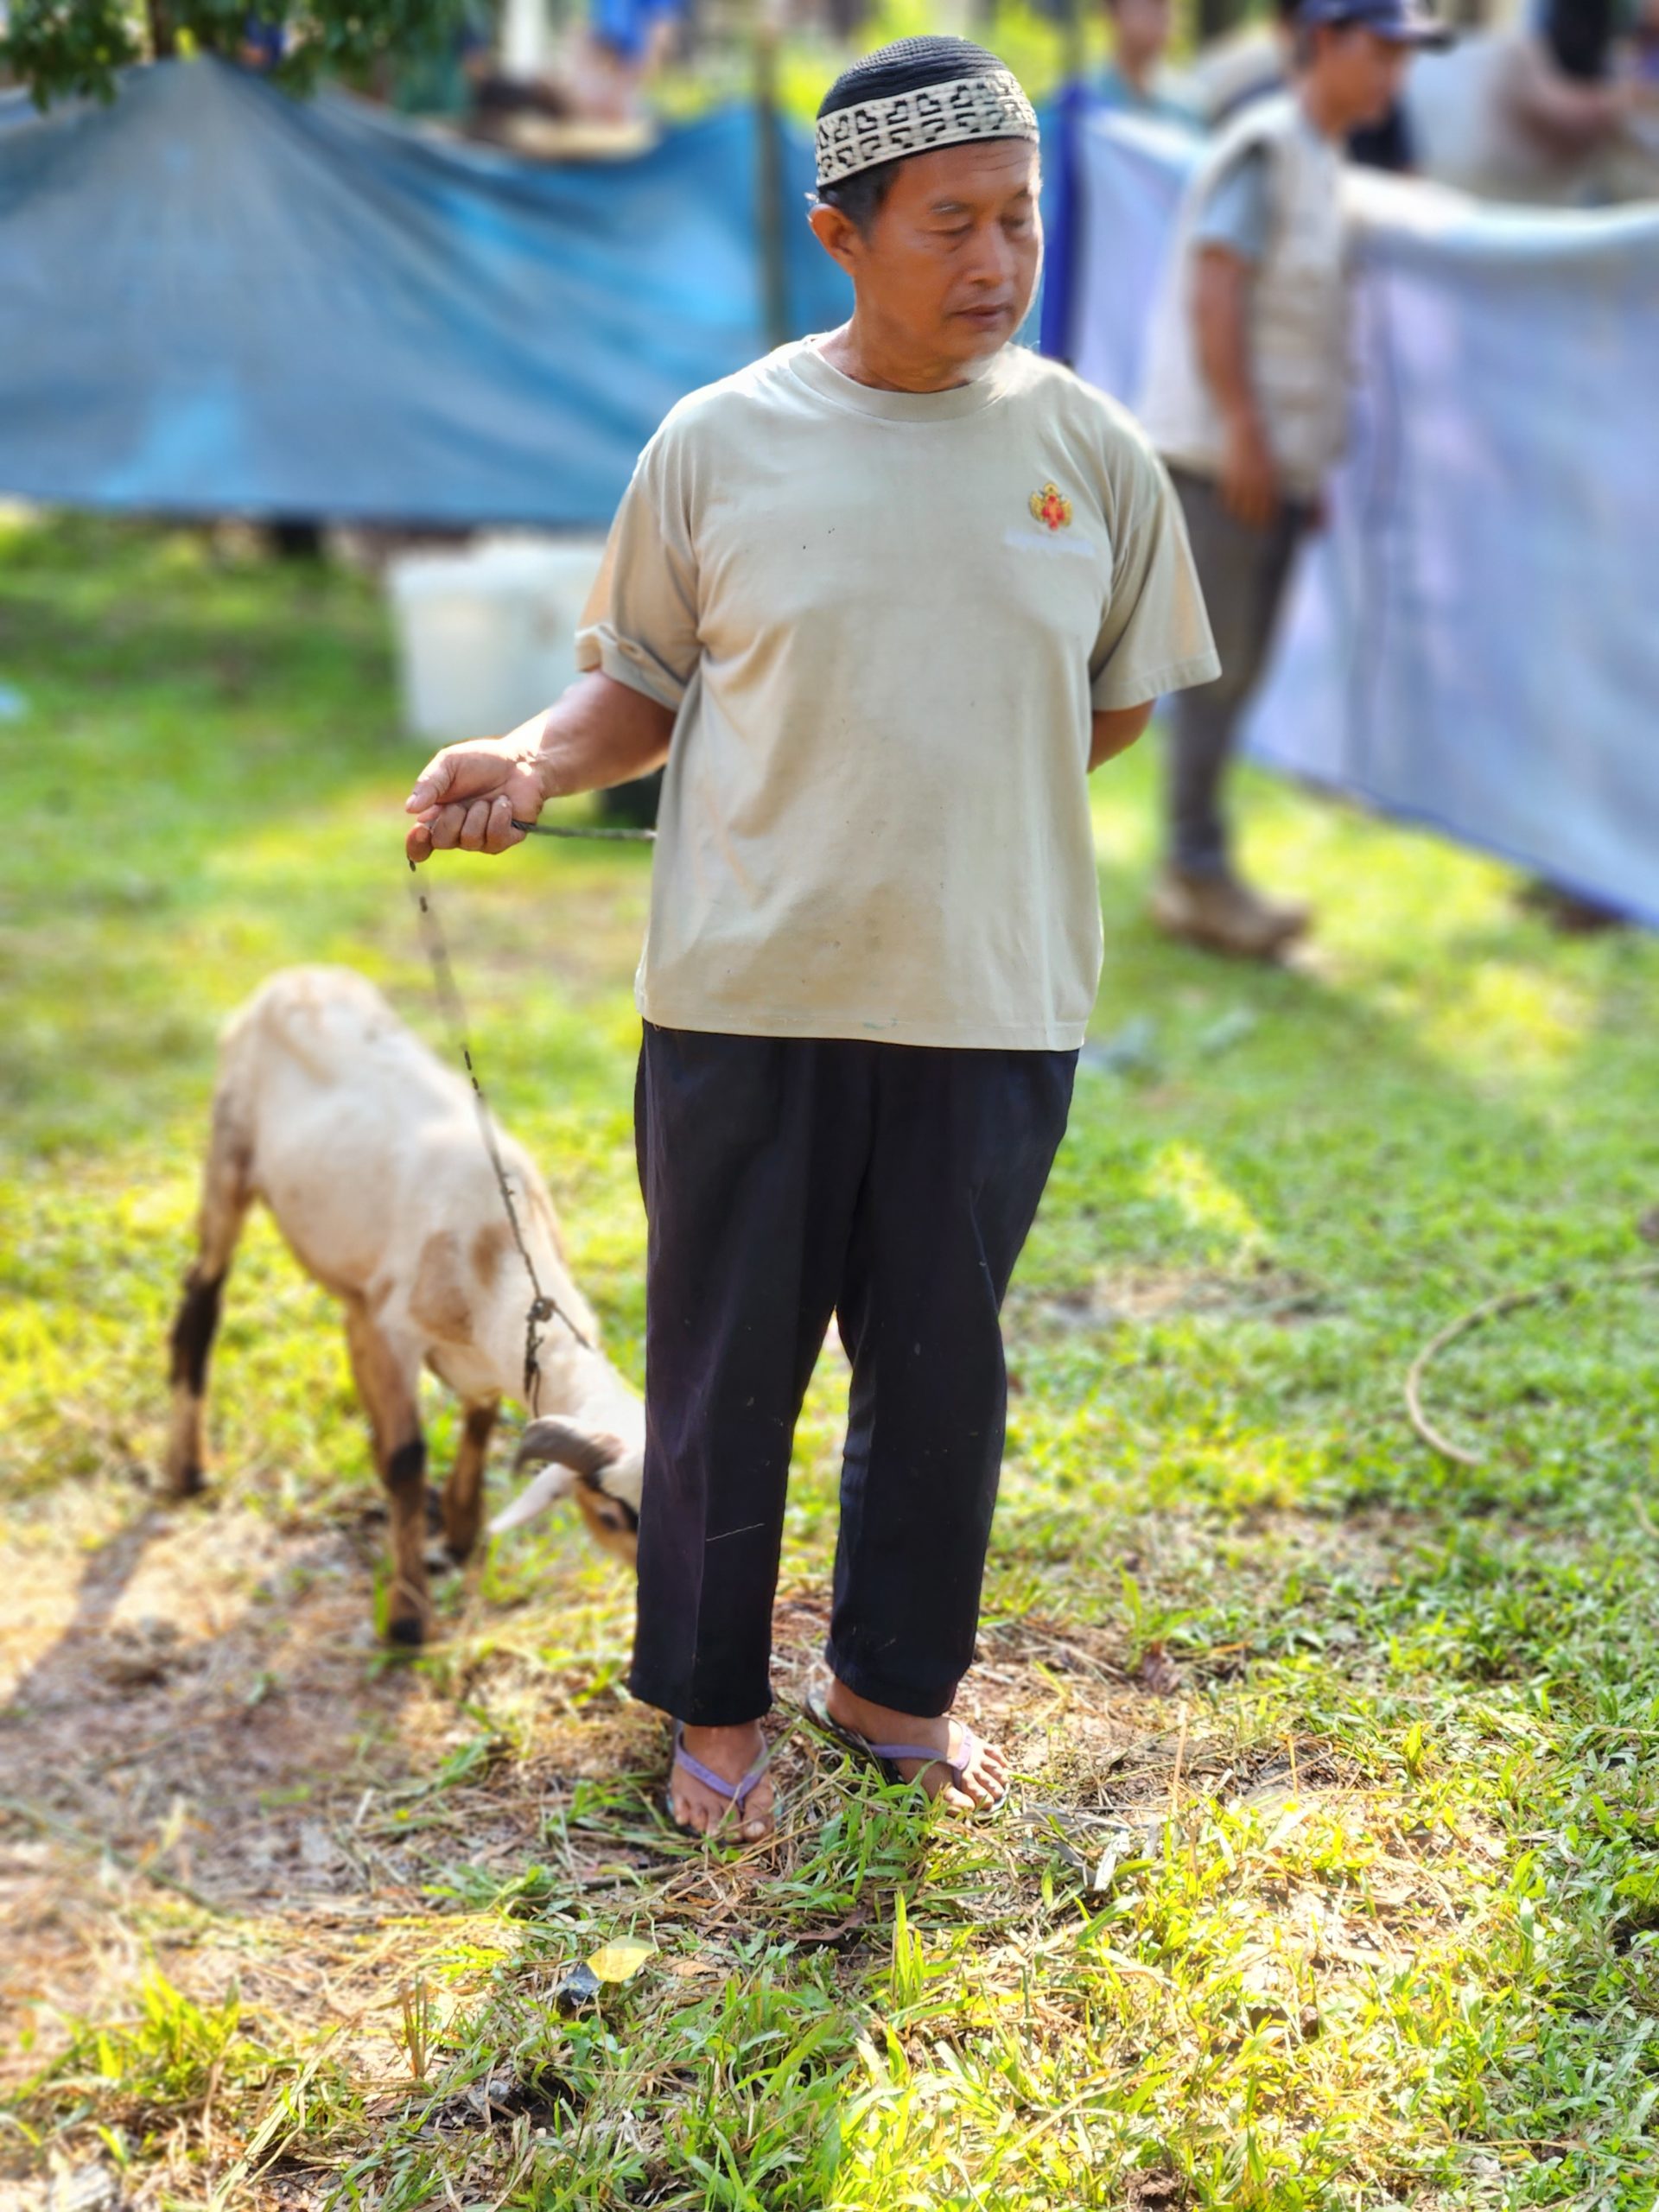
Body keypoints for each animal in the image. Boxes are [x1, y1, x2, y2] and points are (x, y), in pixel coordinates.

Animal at [163, 965, 642, 1643]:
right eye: (610, 1515)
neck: (494, 1247)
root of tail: (299, 975)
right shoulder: (384, 1328)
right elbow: (407, 1460)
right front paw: (409, 1616)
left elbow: (478, 1417)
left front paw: (462, 1533)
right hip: (228, 1153)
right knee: (202, 1296)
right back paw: (186, 1470)